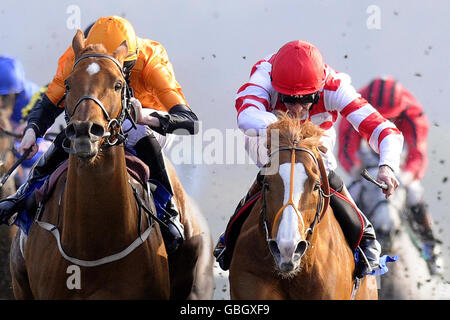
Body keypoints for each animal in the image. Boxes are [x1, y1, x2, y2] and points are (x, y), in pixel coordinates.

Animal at [9, 30, 214, 300]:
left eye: (118, 85)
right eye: (68, 84)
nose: (85, 131)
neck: (93, 244)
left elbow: (187, 117)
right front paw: (29, 142)